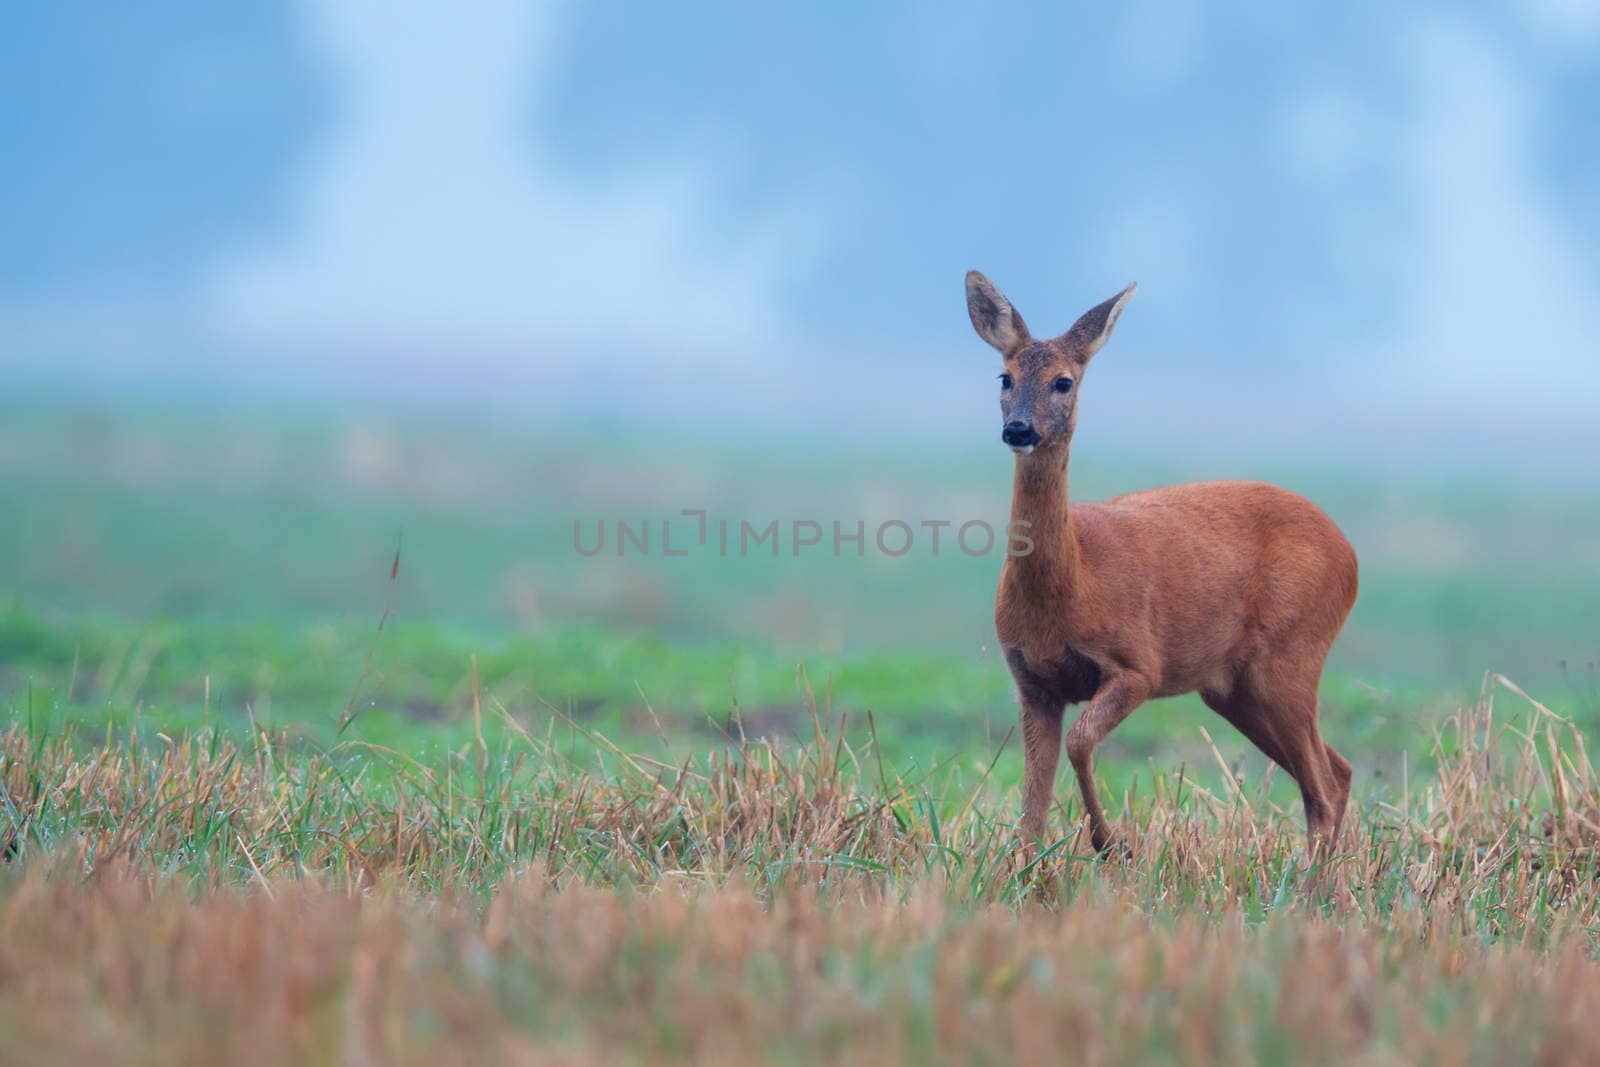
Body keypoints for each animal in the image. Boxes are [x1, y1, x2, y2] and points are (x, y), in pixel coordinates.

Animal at [960, 271, 1363, 857]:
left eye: (1064, 382)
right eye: (1004, 376)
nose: (1018, 429)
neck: (1074, 584)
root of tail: (1350, 555)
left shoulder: (1139, 663)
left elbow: (1080, 743)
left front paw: (1111, 843)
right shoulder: (1031, 681)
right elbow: (1030, 811)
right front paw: (1031, 866)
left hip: (1291, 653)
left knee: (1325, 787)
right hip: (1233, 688)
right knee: (1339, 771)